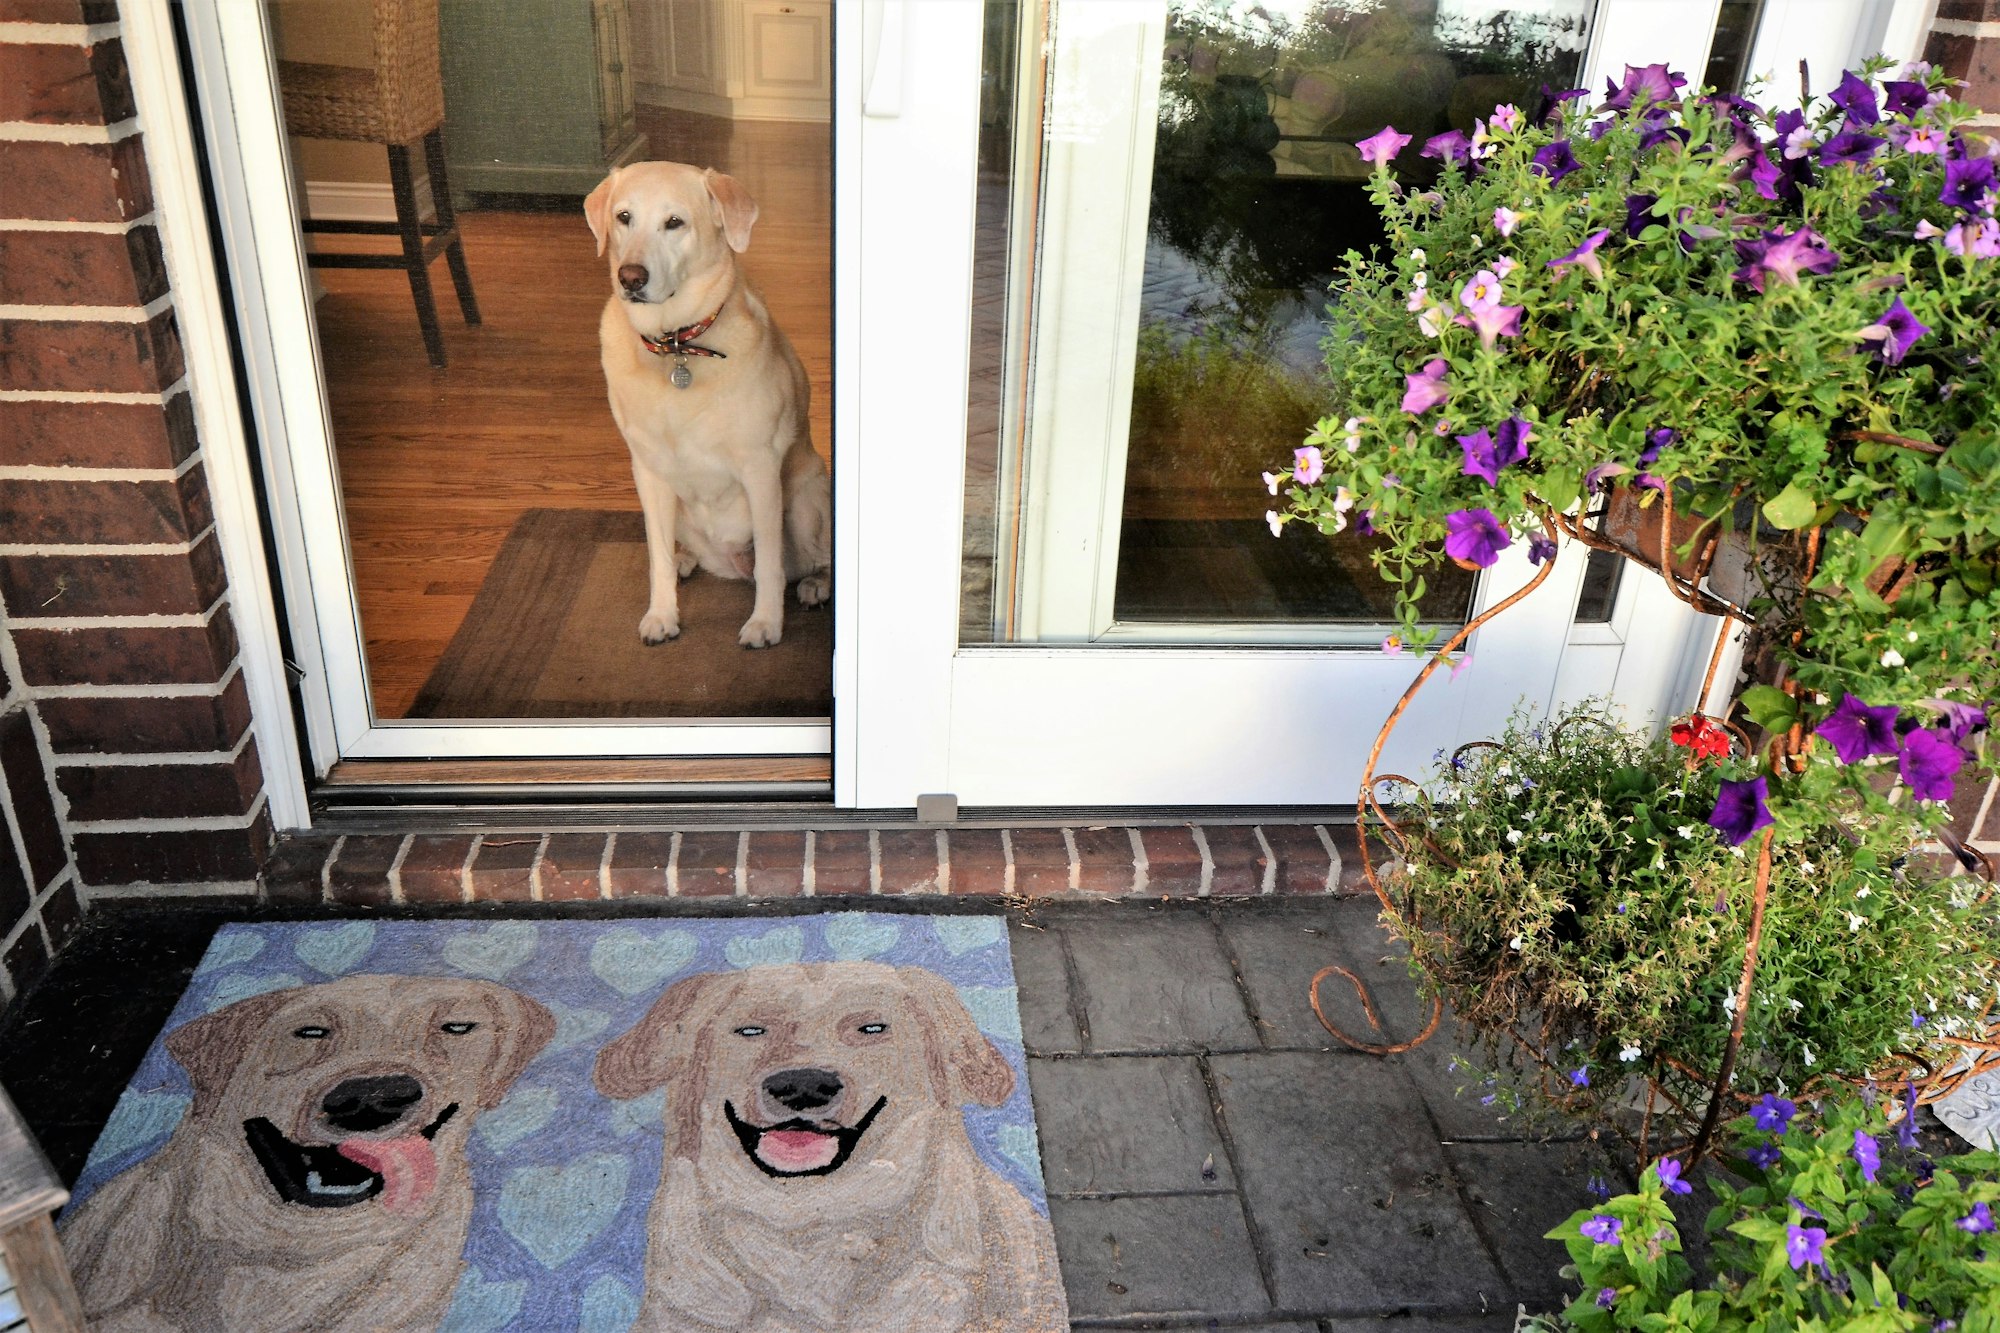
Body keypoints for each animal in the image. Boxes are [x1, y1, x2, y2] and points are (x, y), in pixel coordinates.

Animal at [584, 161, 832, 648]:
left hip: (805, 500)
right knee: (681, 550)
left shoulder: (760, 468)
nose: (631, 277)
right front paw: (662, 613)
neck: (676, 347)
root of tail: (733, 562)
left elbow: (771, 564)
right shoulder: (647, 473)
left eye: (674, 222)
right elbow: (656, 557)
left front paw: (765, 623)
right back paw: (686, 560)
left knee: (808, 561)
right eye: (624, 217)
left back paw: (815, 585)